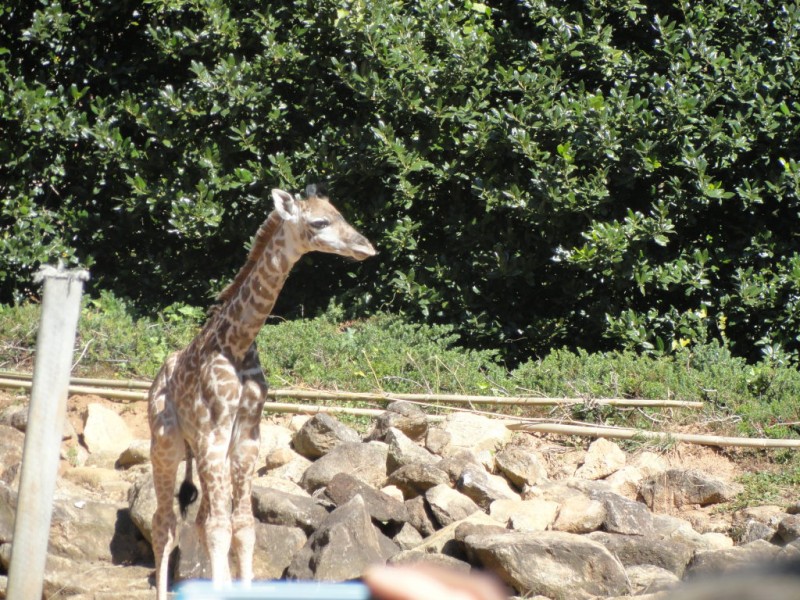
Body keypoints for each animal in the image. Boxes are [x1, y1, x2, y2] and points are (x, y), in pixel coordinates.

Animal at [148, 185, 378, 596]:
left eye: (340, 213)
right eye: (320, 222)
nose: (365, 247)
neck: (238, 342)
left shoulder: (246, 437)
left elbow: (242, 527)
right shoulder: (213, 434)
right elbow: (220, 527)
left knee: (198, 520)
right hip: (166, 444)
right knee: (166, 524)